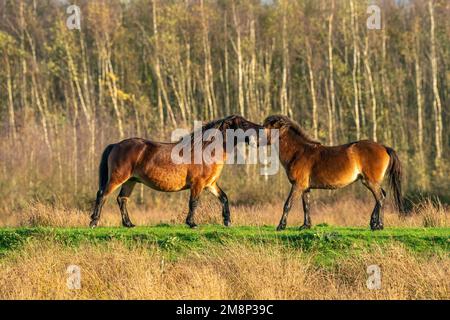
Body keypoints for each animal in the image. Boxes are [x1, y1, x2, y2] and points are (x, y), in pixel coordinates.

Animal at [89, 116, 262, 229]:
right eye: (244, 123)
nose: (260, 129)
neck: (206, 150)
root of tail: (116, 145)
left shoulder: (210, 184)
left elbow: (224, 198)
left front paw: (227, 221)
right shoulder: (198, 184)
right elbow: (193, 203)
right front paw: (192, 223)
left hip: (130, 181)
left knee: (122, 199)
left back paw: (128, 224)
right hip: (118, 178)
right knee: (102, 195)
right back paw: (94, 222)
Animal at [262, 115, 406, 230]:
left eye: (266, 127)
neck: (299, 152)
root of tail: (384, 147)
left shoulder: (297, 185)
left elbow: (288, 204)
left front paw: (281, 226)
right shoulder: (305, 187)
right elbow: (306, 205)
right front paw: (305, 226)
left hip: (370, 181)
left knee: (380, 198)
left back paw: (378, 225)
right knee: (381, 196)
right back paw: (374, 223)